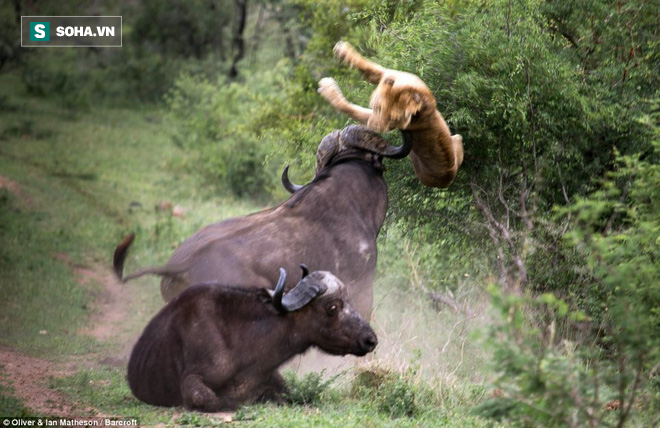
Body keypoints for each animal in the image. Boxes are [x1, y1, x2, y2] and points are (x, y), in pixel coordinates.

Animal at [316, 41, 462, 187]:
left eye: (394, 119)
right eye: (378, 108)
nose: (374, 127)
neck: (408, 90)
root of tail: (449, 177)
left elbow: (352, 109)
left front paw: (328, 88)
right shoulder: (390, 74)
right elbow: (368, 67)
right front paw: (342, 51)